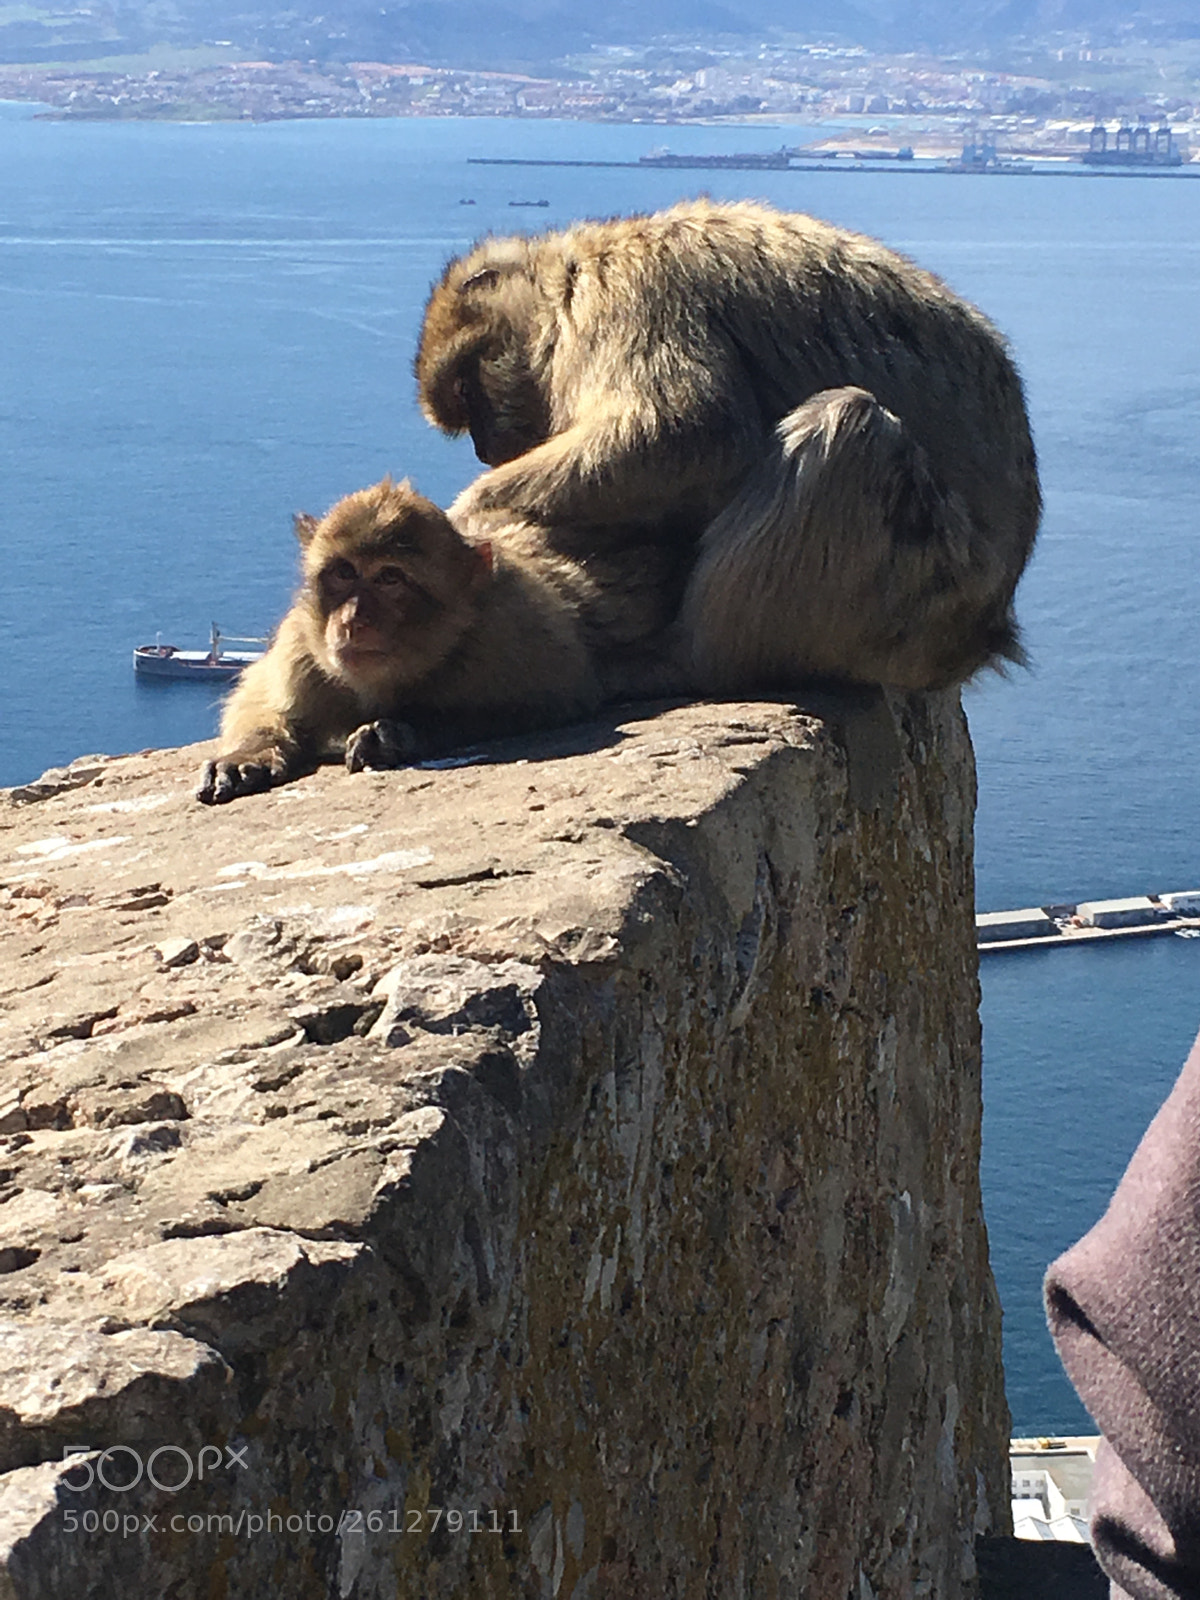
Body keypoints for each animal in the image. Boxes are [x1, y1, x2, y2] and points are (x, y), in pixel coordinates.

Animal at [196, 478, 603, 804]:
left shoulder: (514, 633)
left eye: (390, 578)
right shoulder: (303, 649)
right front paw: (248, 755)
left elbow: (548, 703)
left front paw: (394, 733)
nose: (352, 619)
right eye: (343, 573)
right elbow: (262, 698)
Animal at [416, 197, 1041, 692]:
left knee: (852, 430)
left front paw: (471, 510)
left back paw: (686, 662)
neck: (572, 273)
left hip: (925, 599)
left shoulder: (627, 291)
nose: (483, 449)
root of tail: (986, 634)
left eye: (468, 392)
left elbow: (688, 432)